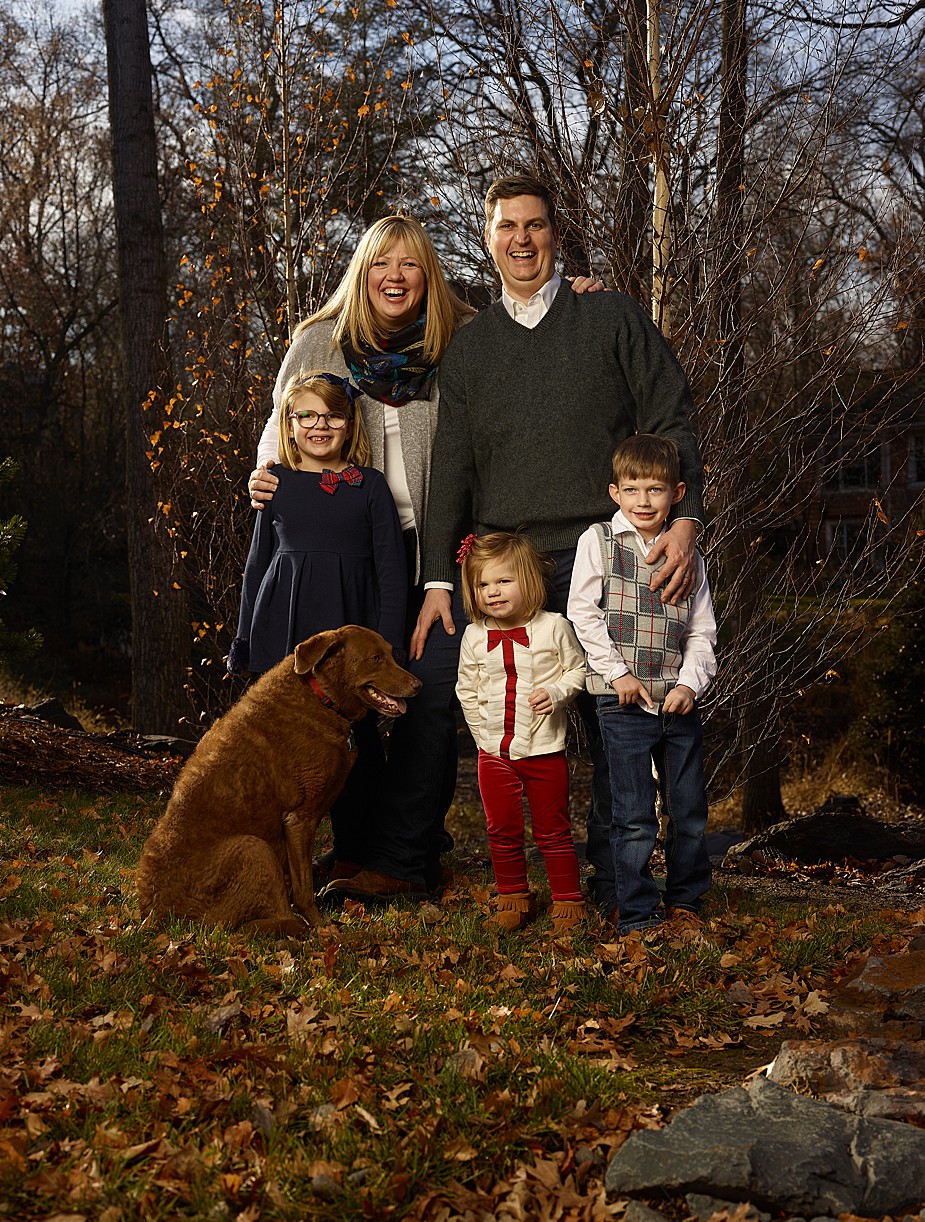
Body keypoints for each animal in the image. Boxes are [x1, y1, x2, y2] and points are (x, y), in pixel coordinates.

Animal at [135, 625, 420, 938]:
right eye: (375, 658)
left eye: (391, 654)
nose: (418, 685)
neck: (321, 698)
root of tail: (155, 917)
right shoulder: (298, 820)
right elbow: (304, 889)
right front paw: (322, 927)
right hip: (254, 849)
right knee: (249, 924)